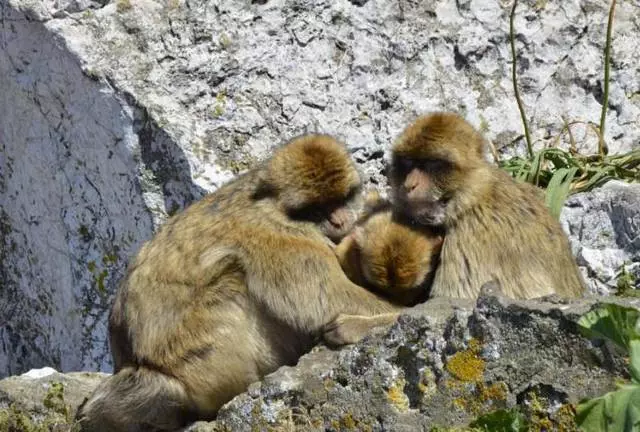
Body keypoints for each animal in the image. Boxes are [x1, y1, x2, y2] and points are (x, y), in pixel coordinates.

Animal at [76, 135, 400, 432]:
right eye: (316, 209)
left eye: (342, 198)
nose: (339, 220)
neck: (269, 205)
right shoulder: (281, 241)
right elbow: (328, 300)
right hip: (203, 357)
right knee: (233, 276)